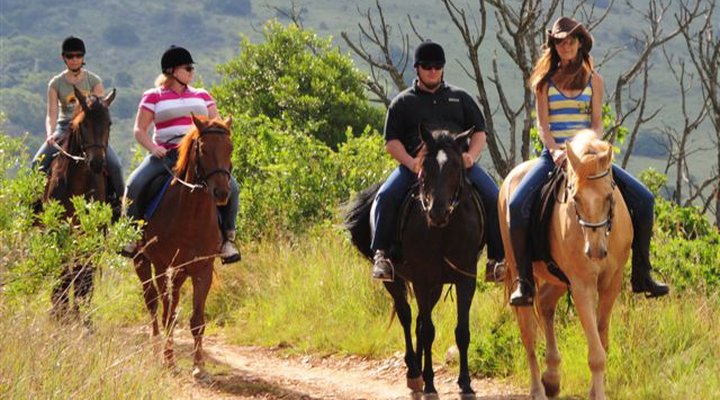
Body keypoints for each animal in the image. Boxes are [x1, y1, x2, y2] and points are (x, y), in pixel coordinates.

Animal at [42, 86, 116, 323]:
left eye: (109, 123)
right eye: (83, 124)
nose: (97, 163)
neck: (79, 181)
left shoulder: (92, 231)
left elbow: (84, 268)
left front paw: (81, 311)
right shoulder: (59, 228)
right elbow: (64, 267)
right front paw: (61, 309)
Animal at [133, 114, 233, 381]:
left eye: (230, 148)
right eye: (204, 149)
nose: (221, 192)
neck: (191, 214)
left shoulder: (202, 270)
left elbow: (197, 319)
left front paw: (199, 367)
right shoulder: (164, 267)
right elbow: (168, 315)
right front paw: (169, 361)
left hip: (178, 273)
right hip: (144, 263)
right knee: (153, 303)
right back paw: (156, 347)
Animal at [345, 126, 486, 396]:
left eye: (455, 166)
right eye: (424, 166)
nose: (437, 212)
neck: (444, 230)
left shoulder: (465, 278)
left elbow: (461, 331)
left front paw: (465, 383)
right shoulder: (422, 278)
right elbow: (428, 330)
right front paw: (429, 383)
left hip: (436, 286)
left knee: (420, 319)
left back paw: (419, 371)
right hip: (396, 281)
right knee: (407, 317)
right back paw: (413, 373)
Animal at [498, 130, 632, 400]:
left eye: (609, 196)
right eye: (575, 197)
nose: (595, 251)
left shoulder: (611, 283)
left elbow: (602, 340)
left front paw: (594, 391)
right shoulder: (582, 285)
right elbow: (596, 353)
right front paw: (597, 394)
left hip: (557, 277)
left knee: (545, 303)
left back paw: (551, 378)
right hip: (522, 272)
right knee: (528, 333)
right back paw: (538, 389)